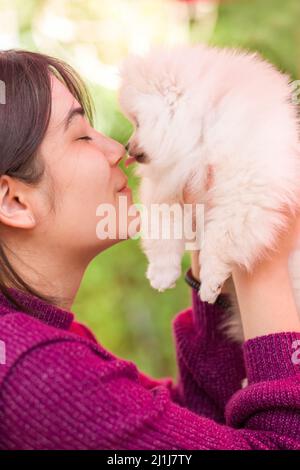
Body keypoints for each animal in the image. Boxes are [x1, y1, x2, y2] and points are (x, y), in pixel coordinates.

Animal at [118, 45, 300, 342]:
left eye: (136, 122)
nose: (126, 146)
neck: (198, 138)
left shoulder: (245, 193)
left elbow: (220, 238)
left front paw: (211, 279)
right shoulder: (169, 188)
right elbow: (163, 233)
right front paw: (161, 273)